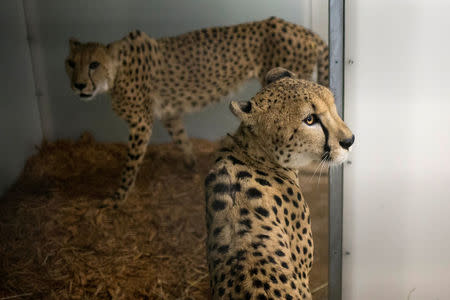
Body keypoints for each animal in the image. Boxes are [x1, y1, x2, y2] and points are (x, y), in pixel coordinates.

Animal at [65, 17, 328, 203]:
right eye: (70, 63)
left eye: (94, 64)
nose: (78, 86)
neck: (116, 72)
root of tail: (306, 31)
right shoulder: (169, 114)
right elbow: (181, 138)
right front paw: (191, 165)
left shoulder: (141, 123)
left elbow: (130, 164)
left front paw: (118, 197)